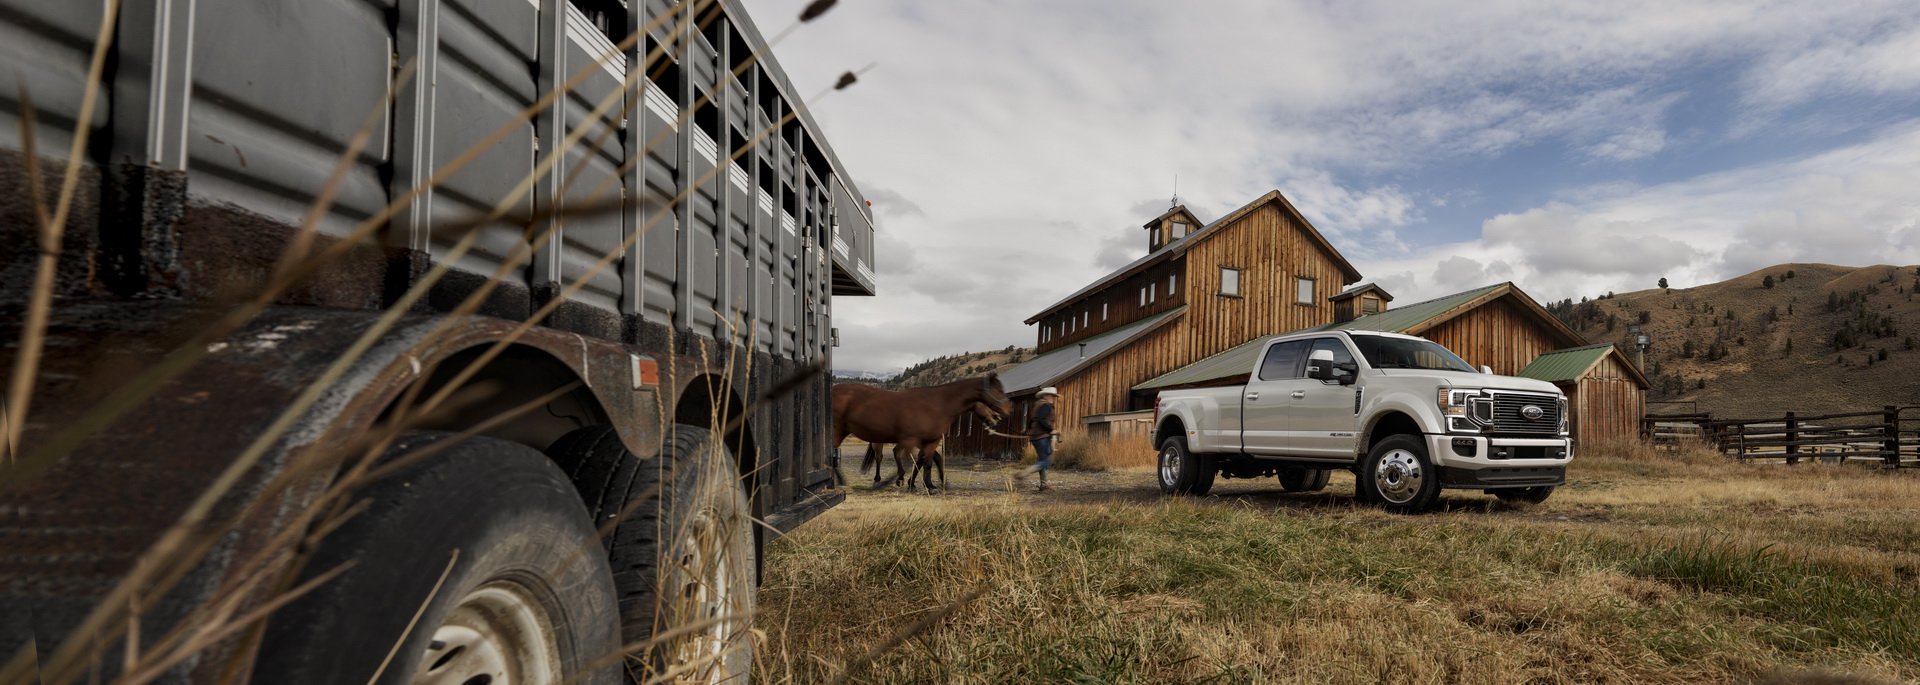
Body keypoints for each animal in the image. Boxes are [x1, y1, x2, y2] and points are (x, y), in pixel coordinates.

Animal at [833, 374, 1013, 491]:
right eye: (998, 390)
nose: (1006, 411)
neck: (939, 404)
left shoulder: (929, 441)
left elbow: (926, 461)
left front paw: (929, 484)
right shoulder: (912, 440)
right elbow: (907, 459)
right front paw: (902, 481)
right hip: (847, 433)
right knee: (873, 457)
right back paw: (860, 481)